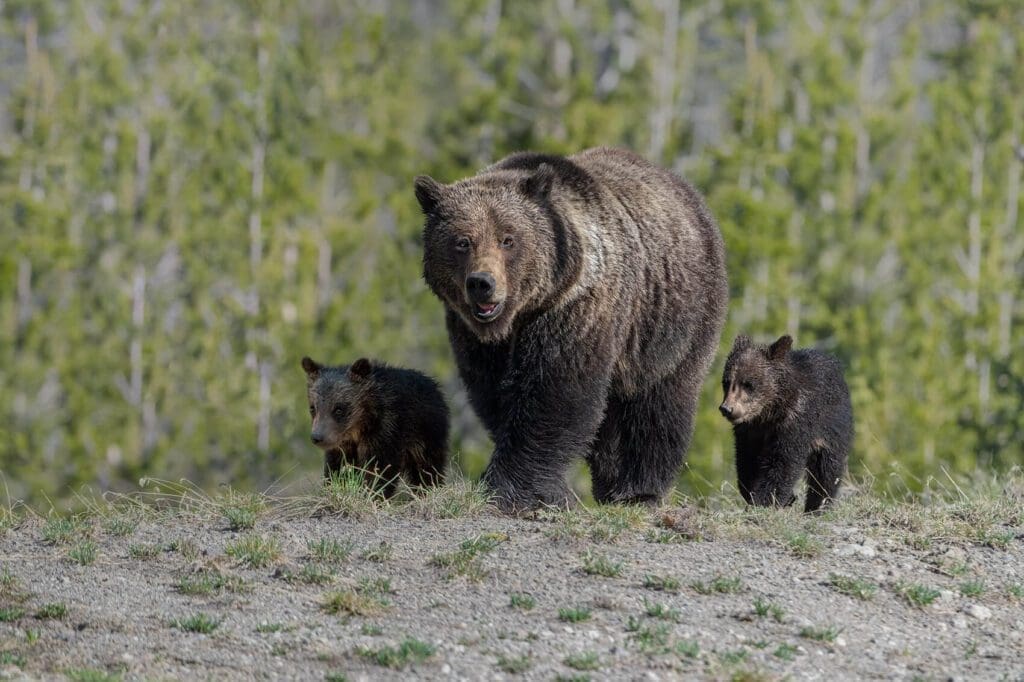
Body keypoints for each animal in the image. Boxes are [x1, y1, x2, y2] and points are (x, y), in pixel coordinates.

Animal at [415, 150, 729, 509]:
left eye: (508, 239)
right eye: (462, 242)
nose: (482, 283)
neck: (520, 315)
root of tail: (687, 192)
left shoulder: (575, 310)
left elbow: (556, 391)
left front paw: (513, 488)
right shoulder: (475, 338)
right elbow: (495, 395)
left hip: (674, 320)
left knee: (659, 402)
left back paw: (638, 490)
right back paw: (610, 484)